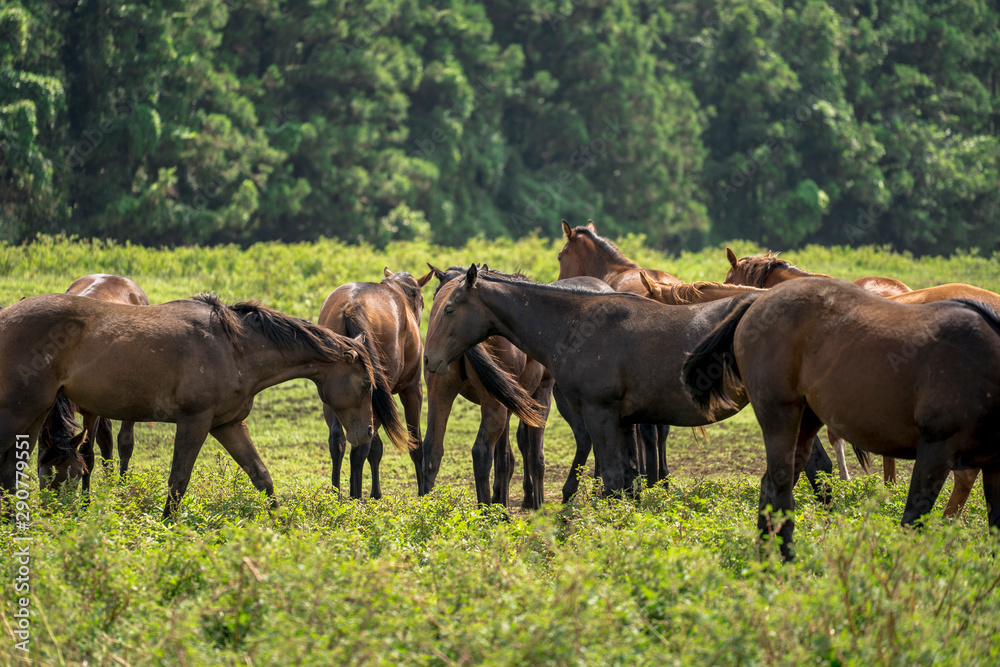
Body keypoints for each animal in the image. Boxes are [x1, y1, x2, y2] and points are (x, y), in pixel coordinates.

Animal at [0, 294, 390, 520]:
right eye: (366, 385)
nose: (367, 433)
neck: (235, 348)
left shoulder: (227, 425)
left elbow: (262, 477)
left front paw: (283, 526)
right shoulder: (195, 421)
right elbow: (178, 481)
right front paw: (165, 528)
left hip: (35, 414)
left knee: (11, 471)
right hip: (20, 412)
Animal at [318, 268, 432, 498]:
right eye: (421, 301)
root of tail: (352, 305)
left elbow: (374, 447)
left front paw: (375, 492)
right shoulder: (413, 390)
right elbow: (415, 444)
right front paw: (422, 492)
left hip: (337, 399)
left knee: (338, 440)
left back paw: (337, 494)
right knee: (361, 445)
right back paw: (356, 497)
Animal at [684, 280, 1000, 560]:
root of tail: (758, 301)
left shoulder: (993, 465)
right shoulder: (935, 451)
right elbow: (912, 520)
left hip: (806, 423)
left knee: (771, 486)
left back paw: (765, 562)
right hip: (779, 417)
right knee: (781, 485)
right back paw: (785, 564)